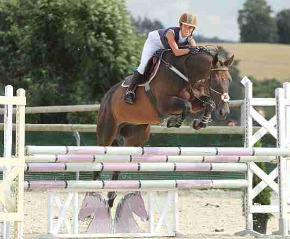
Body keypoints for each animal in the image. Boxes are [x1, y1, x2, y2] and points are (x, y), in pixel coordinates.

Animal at [96, 46, 234, 207]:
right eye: (216, 81)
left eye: (229, 80)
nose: (224, 112)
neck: (186, 72)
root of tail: (107, 96)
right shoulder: (165, 103)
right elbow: (186, 106)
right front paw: (173, 121)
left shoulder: (195, 100)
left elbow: (207, 103)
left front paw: (200, 123)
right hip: (107, 133)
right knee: (98, 164)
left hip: (135, 136)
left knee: (121, 163)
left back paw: (111, 198)